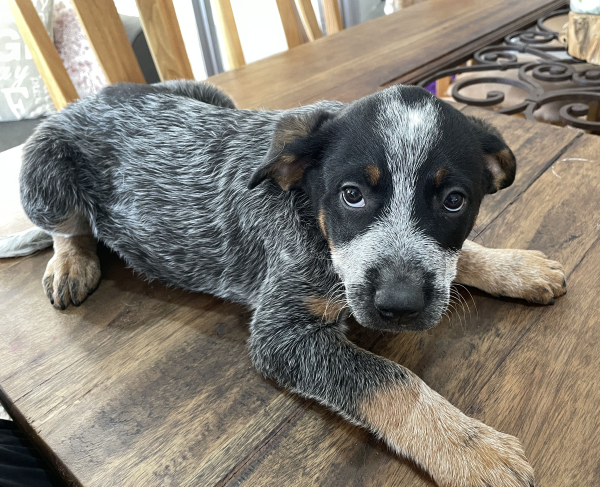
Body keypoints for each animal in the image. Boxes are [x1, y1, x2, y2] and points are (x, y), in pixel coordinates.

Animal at [14, 81, 568, 487]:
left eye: (454, 200)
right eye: (351, 195)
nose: (400, 305)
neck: (310, 215)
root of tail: (85, 100)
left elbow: (459, 258)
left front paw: (514, 267)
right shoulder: (283, 334)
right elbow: (392, 380)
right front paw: (471, 448)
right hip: (43, 172)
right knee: (66, 227)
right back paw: (71, 262)